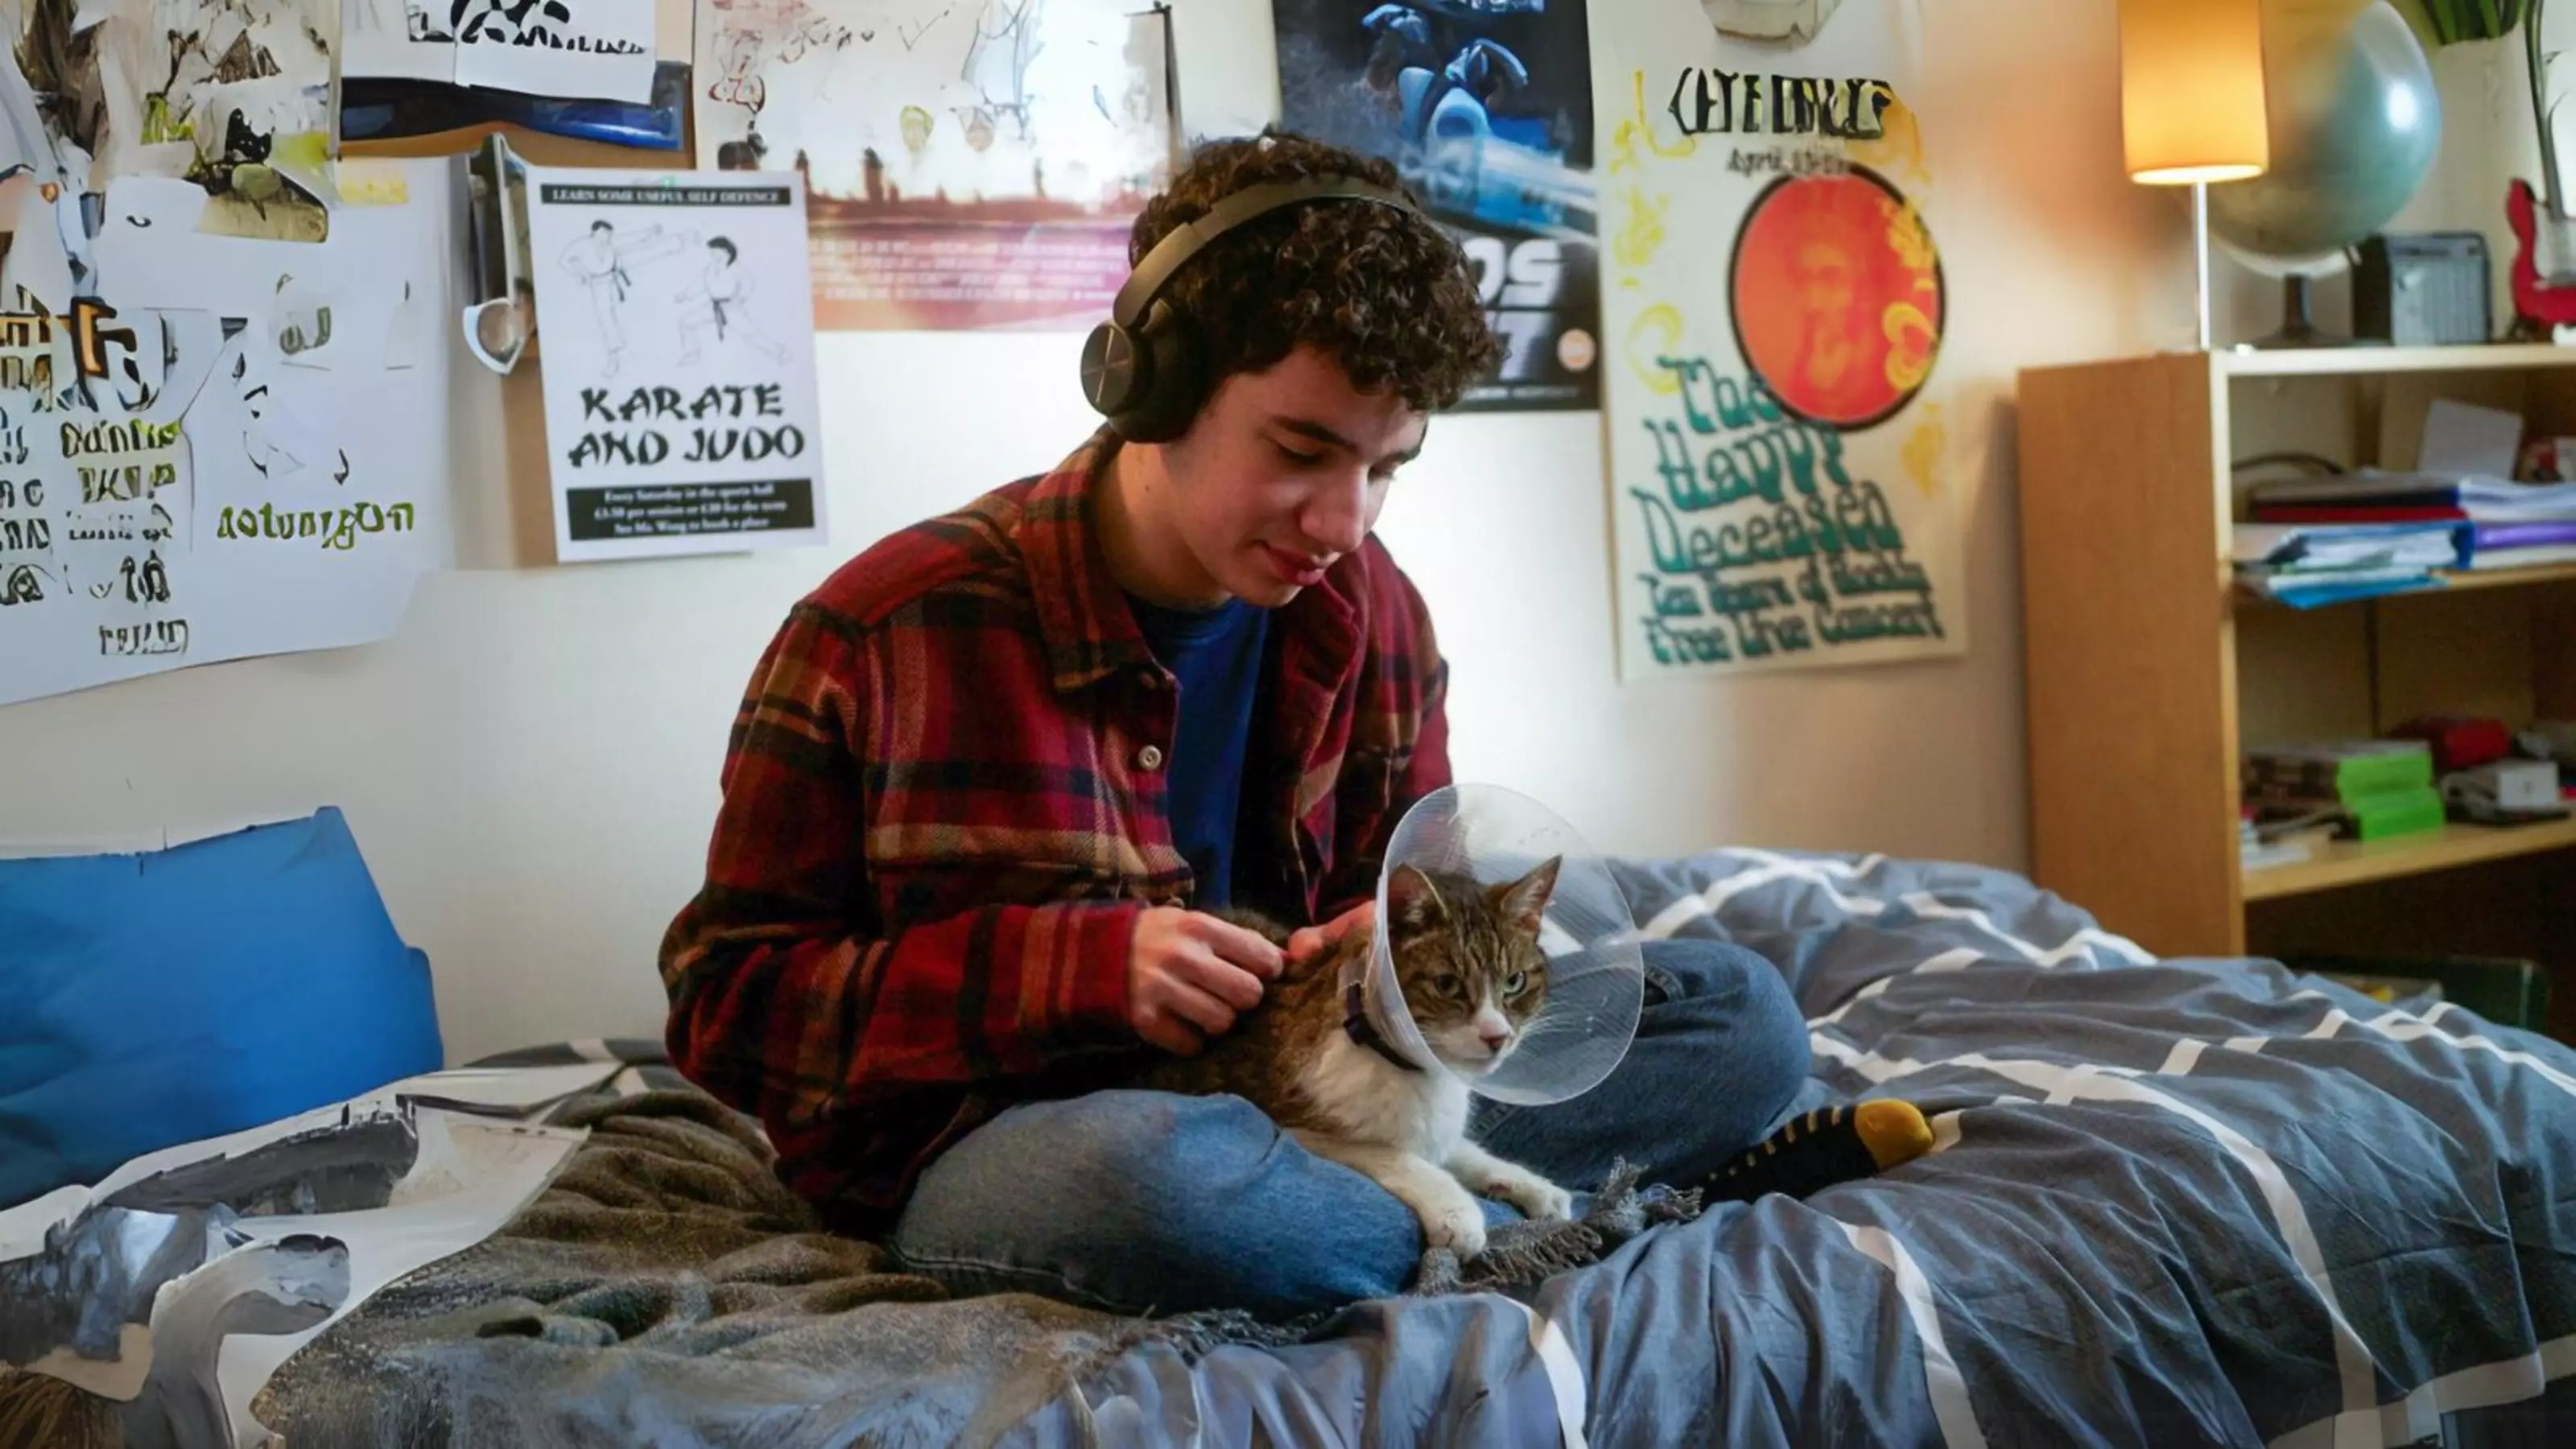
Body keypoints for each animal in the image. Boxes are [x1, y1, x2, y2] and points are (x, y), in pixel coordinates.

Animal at [1143, 856, 1566, 1253]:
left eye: (1515, 982)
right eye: (1447, 985)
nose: (1498, 1037)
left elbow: (1460, 1148)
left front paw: (1530, 1184)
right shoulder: (1290, 1123)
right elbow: (1384, 1151)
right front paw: (1454, 1210)